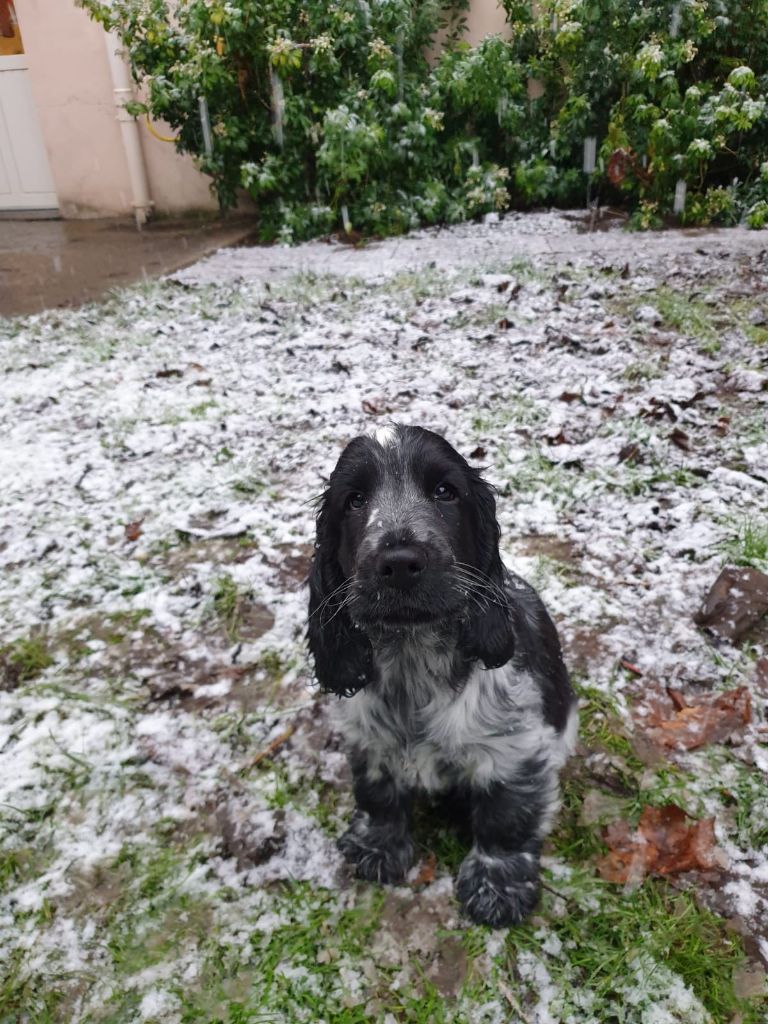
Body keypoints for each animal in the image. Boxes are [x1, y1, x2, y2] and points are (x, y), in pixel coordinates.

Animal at [309, 423, 577, 929]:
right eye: (354, 500)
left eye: (444, 492)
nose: (399, 563)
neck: (413, 659)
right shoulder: (368, 739)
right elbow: (377, 794)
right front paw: (377, 847)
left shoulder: (516, 752)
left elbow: (505, 821)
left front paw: (496, 889)